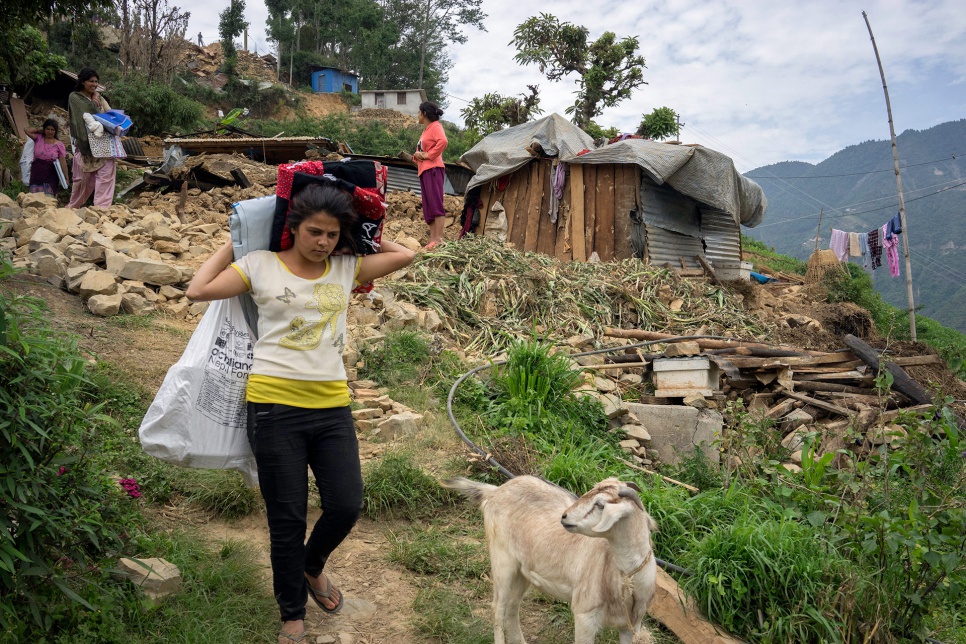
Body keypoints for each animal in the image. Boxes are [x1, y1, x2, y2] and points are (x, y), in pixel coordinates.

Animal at [444, 472, 656, 644]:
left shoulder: (630, 627)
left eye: (600, 504)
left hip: (523, 571)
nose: (565, 517)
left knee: (512, 606)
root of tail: (495, 491)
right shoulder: (584, 615)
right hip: (502, 561)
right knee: (498, 608)